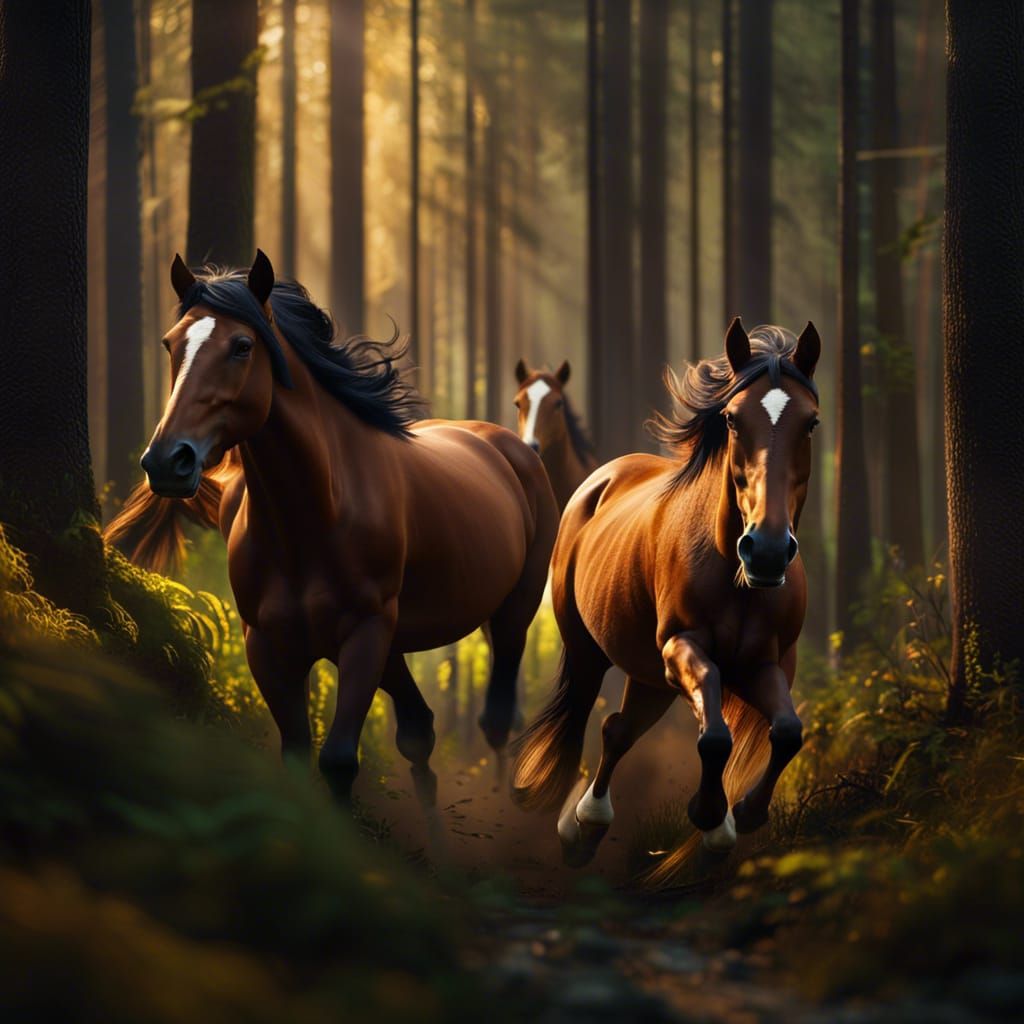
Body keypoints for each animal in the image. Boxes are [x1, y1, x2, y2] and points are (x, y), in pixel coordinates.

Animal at [106, 251, 558, 802]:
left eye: (242, 347)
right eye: (172, 344)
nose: (168, 461)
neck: (312, 520)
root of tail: (511, 447)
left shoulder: (365, 634)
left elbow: (339, 761)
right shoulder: (269, 645)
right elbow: (300, 758)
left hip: (512, 610)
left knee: (495, 718)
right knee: (420, 730)